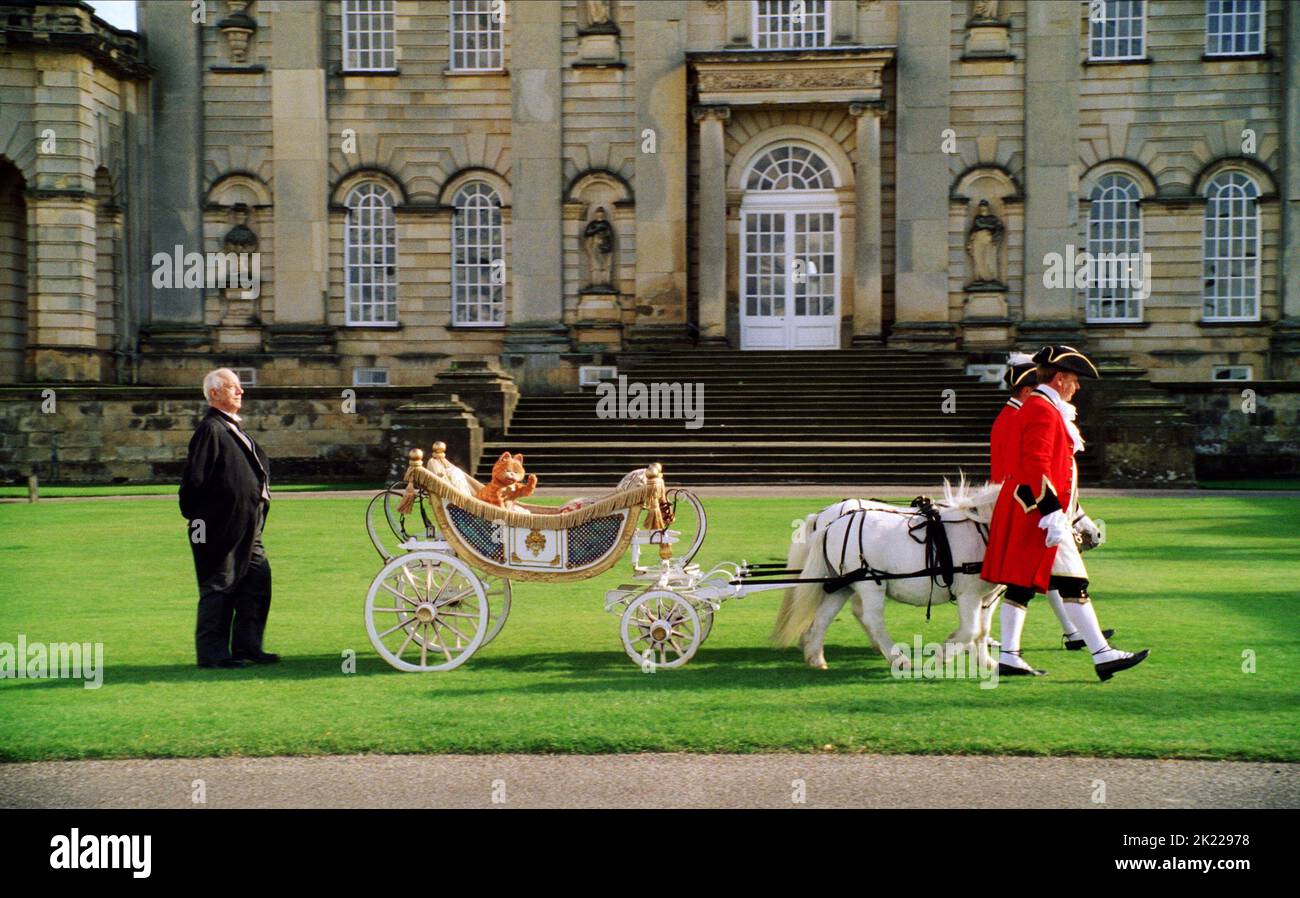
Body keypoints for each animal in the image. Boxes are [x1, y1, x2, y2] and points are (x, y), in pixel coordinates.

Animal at [774, 480, 998, 670]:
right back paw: (898, 658)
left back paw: (815, 657)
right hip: (870, 583)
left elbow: (981, 630)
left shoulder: (987, 596)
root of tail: (828, 525)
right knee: (871, 619)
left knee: (823, 616)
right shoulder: (968, 593)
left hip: (843, 585)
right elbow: (970, 631)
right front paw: (944, 653)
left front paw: (986, 662)